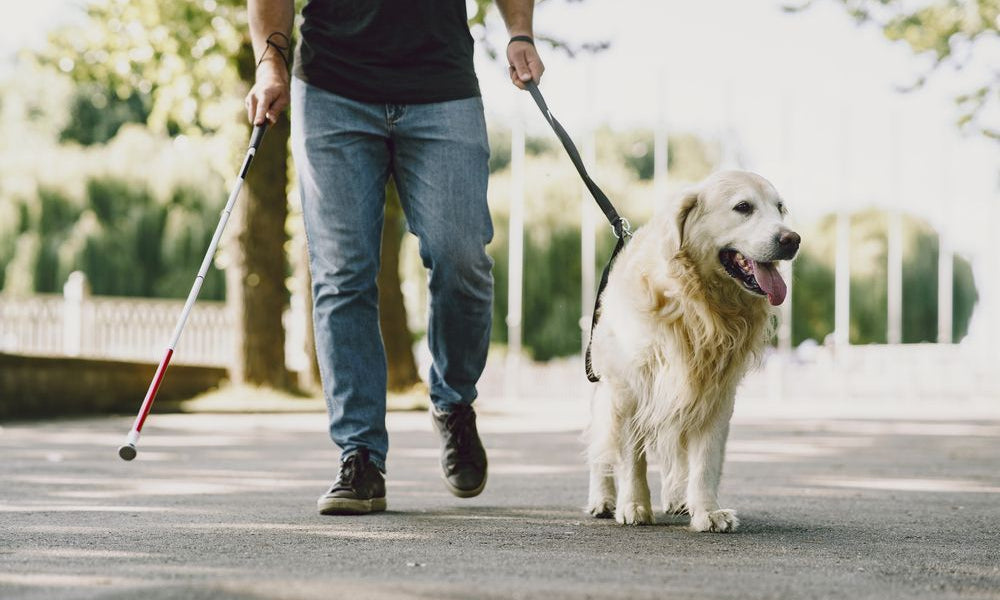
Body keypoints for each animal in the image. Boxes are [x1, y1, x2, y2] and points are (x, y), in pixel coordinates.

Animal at [584, 171, 800, 532]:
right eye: (743, 207)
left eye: (780, 207)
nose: (792, 240)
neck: (696, 302)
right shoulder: (630, 389)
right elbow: (631, 457)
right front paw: (634, 505)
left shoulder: (716, 392)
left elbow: (705, 459)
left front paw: (707, 510)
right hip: (605, 389)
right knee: (602, 448)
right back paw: (602, 500)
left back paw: (678, 499)